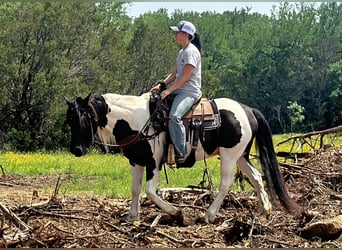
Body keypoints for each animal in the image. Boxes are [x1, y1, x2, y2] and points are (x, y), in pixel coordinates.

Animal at [65, 92, 302, 223]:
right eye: (69, 120)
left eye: (83, 116)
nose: (76, 150)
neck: (137, 120)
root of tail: (248, 110)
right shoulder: (136, 161)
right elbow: (135, 189)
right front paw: (132, 216)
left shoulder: (153, 162)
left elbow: (150, 191)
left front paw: (177, 213)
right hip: (240, 155)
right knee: (256, 176)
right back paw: (266, 209)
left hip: (229, 155)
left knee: (226, 183)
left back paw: (209, 215)